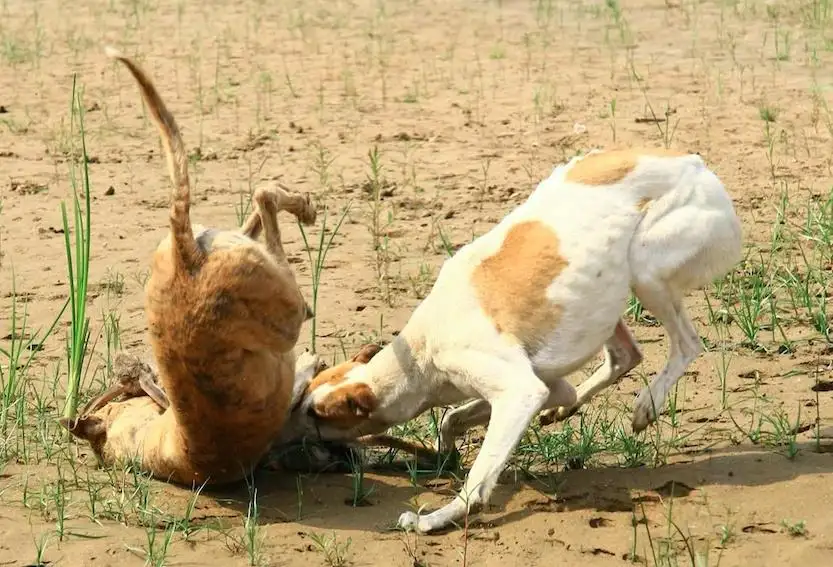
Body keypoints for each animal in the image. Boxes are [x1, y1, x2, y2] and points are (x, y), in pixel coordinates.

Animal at [59, 46, 316, 486]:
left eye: (115, 390)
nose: (127, 364)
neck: (152, 441)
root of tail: (185, 257)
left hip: (228, 247)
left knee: (261, 199)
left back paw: (301, 205)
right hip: (283, 309)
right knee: (264, 200)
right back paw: (302, 207)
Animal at [284, 149, 740, 536]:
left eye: (314, 413)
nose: (277, 429)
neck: (421, 352)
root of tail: (694, 164)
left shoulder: (520, 390)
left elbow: (479, 477)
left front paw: (437, 518)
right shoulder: (539, 385)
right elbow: (452, 419)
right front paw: (444, 457)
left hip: (645, 268)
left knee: (687, 344)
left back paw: (647, 403)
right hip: (606, 298)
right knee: (624, 356)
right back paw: (570, 409)